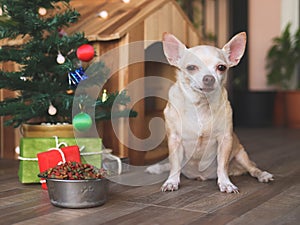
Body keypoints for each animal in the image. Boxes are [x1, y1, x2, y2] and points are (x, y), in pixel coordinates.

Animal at [146, 32, 274, 192]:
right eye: (191, 67)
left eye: (221, 67)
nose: (209, 78)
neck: (201, 106)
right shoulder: (175, 139)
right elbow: (174, 165)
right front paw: (171, 182)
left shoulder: (225, 140)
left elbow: (222, 166)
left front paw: (226, 183)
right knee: (170, 165)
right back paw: (157, 168)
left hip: (241, 155)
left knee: (253, 169)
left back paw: (263, 175)